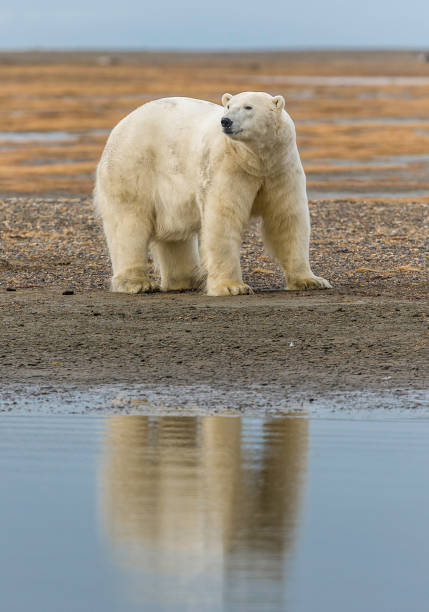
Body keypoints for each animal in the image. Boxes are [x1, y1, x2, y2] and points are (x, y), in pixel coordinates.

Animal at [94, 90, 332, 296]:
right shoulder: (228, 166)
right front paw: (232, 287)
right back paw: (137, 283)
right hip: (133, 165)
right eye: (228, 105)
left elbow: (286, 218)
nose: (225, 121)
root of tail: (120, 125)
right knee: (129, 223)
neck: (255, 160)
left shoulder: (280, 168)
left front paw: (311, 281)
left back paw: (190, 278)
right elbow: (223, 218)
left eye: (248, 107)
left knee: (173, 234)